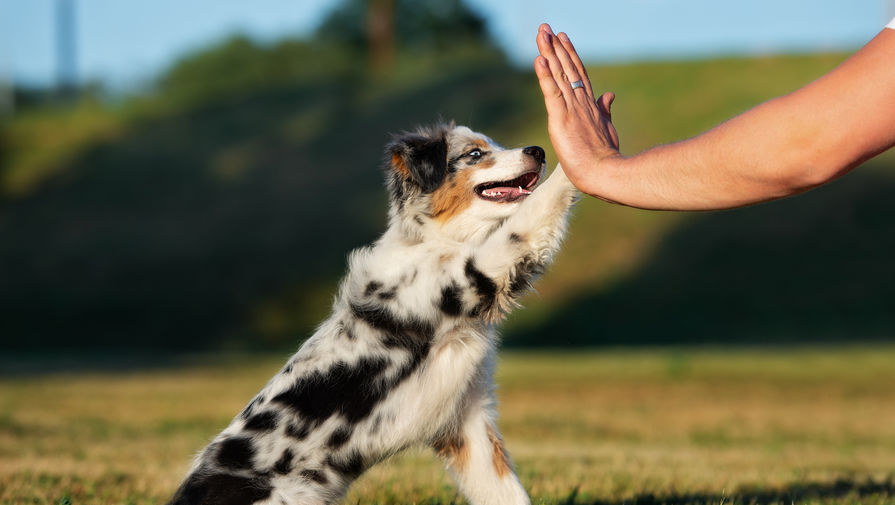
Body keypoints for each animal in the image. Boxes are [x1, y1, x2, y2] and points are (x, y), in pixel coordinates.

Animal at [168, 123, 580, 504]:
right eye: (475, 154)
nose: (538, 150)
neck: (437, 240)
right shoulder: (473, 273)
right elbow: (531, 215)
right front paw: (577, 149)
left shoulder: (466, 418)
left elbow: (505, 491)